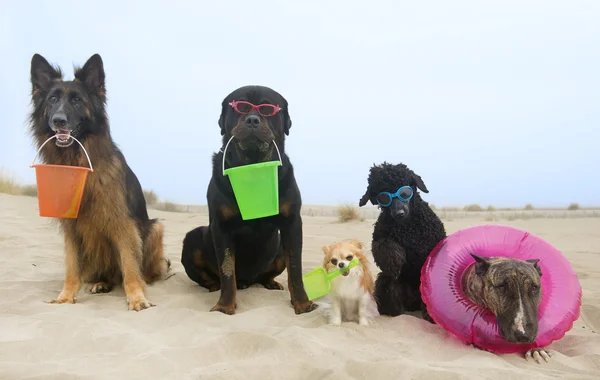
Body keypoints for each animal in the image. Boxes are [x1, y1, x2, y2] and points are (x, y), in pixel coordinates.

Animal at [30, 53, 171, 312]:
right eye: (53, 99)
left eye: (77, 100)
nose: (58, 120)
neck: (78, 163)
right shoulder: (71, 229)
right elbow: (72, 266)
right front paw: (66, 296)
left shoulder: (123, 224)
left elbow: (130, 265)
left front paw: (137, 297)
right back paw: (101, 282)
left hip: (155, 228)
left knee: (136, 271)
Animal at [179, 86, 316, 314]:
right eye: (241, 106)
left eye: (268, 108)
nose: (252, 119)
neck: (253, 168)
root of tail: (247, 281)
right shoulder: (221, 226)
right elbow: (227, 270)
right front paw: (224, 306)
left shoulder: (292, 222)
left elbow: (295, 268)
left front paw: (303, 304)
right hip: (193, 238)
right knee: (211, 276)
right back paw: (213, 286)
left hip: (278, 248)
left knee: (268, 273)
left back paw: (271, 283)